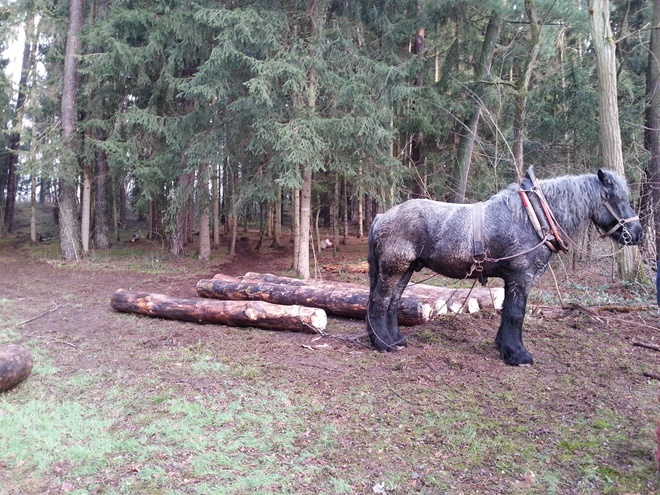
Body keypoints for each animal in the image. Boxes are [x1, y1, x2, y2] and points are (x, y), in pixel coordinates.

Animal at [365, 168, 643, 366]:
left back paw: (396, 340)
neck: (532, 218)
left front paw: (504, 346)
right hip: (394, 268)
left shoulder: (513, 279)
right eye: (615, 198)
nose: (637, 233)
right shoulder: (522, 276)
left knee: (392, 302)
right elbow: (515, 314)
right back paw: (383, 344)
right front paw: (518, 355)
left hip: (406, 269)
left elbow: (507, 311)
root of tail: (382, 217)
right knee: (380, 302)